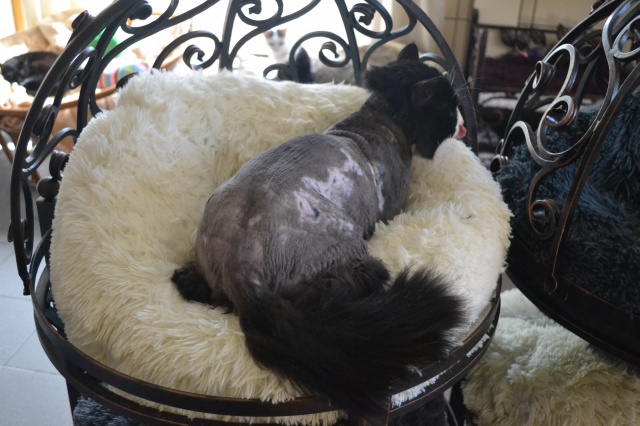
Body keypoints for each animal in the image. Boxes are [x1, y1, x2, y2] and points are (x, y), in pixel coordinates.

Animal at [172, 44, 466, 422]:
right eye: (450, 107)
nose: (462, 125)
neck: (379, 120)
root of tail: (242, 265)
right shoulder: (392, 209)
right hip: (351, 250)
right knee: (328, 292)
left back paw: (191, 281)